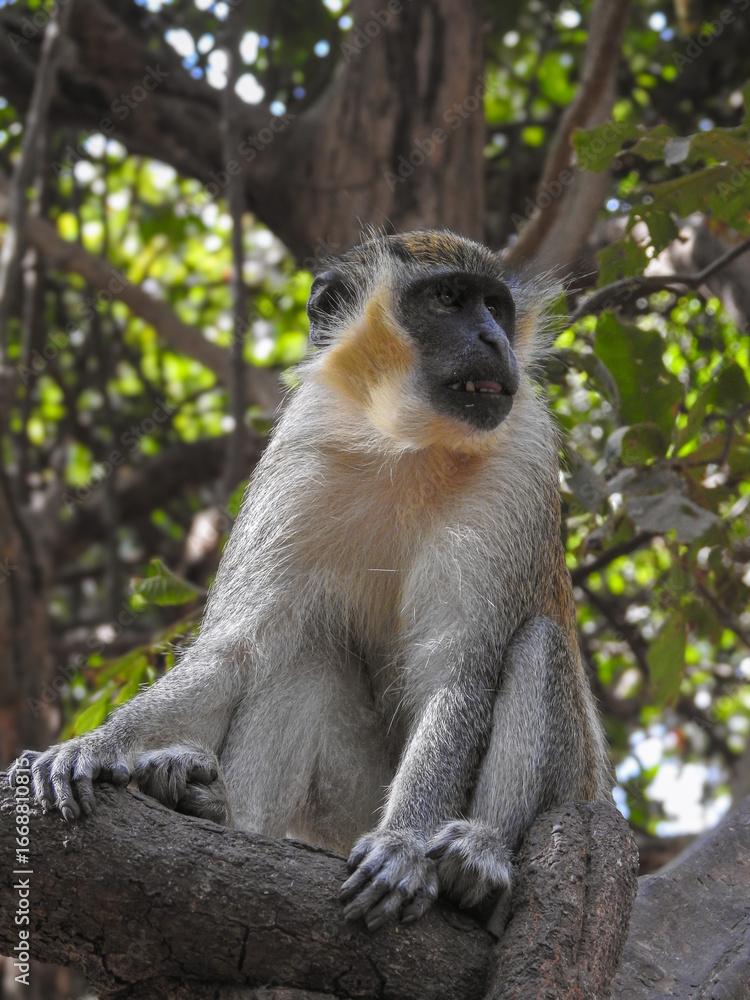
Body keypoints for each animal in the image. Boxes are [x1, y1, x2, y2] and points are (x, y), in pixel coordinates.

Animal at [9, 229, 613, 933]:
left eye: (496, 306)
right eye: (447, 299)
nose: (494, 339)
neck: (408, 445)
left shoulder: (521, 459)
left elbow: (460, 675)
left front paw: (403, 844)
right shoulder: (302, 450)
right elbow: (237, 649)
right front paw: (96, 745)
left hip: (575, 795)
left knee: (539, 644)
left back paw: (481, 860)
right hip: (344, 811)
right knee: (304, 656)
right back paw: (222, 812)